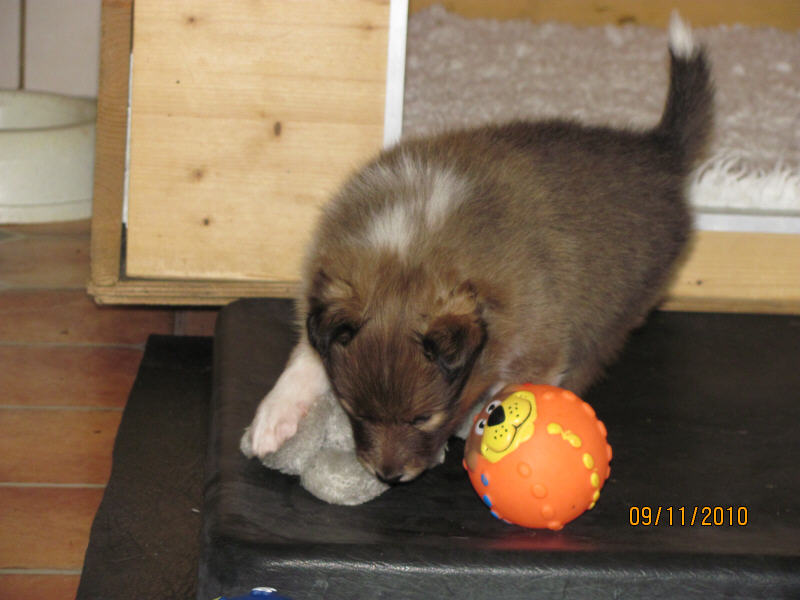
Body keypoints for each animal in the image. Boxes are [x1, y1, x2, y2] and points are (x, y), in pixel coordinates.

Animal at [242, 13, 713, 486]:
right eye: (354, 411)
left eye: (423, 417)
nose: (388, 476)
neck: (410, 247)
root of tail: (661, 151)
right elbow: (305, 359)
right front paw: (272, 419)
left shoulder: (540, 340)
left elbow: (516, 380)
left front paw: (484, 421)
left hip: (615, 308)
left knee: (591, 356)